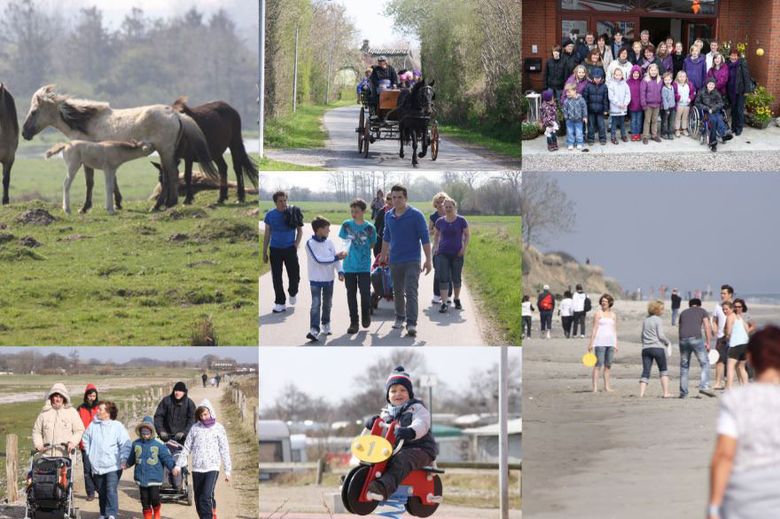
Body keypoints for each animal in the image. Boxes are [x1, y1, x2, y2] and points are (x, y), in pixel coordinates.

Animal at [22, 86, 216, 212]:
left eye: (33, 112)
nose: (24, 133)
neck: (86, 123)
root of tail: (175, 114)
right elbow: (112, 181)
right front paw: (118, 203)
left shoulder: (87, 160)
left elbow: (90, 183)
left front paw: (85, 207)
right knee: (170, 174)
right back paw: (165, 203)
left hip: (165, 151)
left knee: (171, 175)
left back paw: (164, 204)